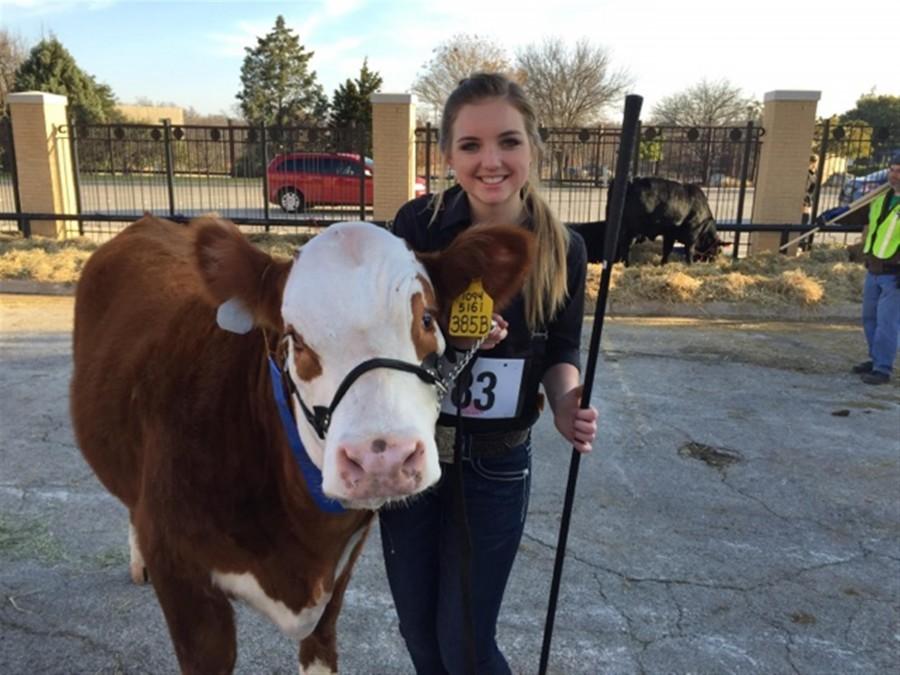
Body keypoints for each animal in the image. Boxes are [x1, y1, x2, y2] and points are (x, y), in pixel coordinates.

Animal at [568, 177, 732, 264]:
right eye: (718, 249)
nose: (714, 260)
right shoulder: (691, 235)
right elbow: (689, 251)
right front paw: (690, 264)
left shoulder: (670, 234)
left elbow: (667, 249)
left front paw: (663, 263)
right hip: (629, 229)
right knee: (624, 246)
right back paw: (626, 264)